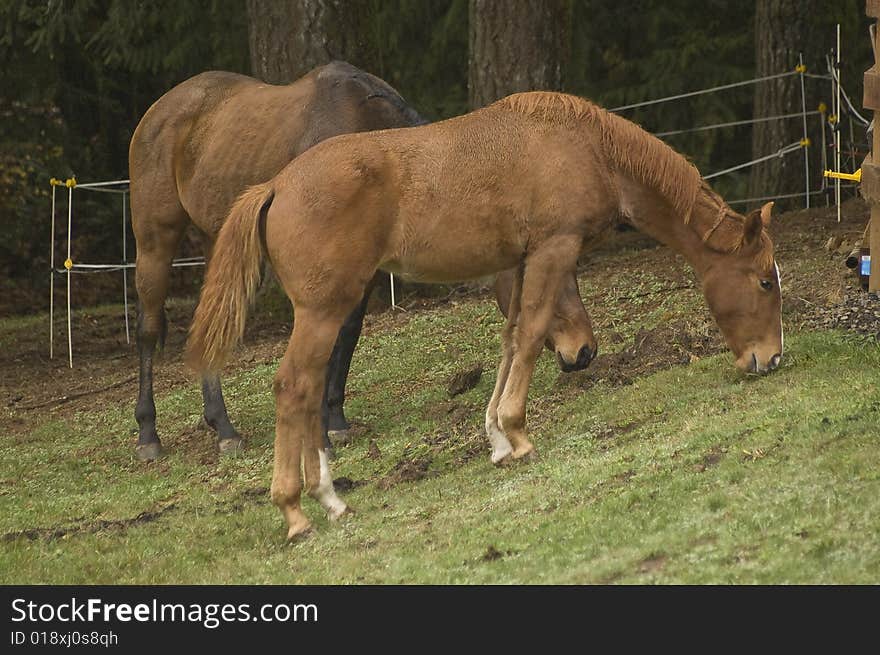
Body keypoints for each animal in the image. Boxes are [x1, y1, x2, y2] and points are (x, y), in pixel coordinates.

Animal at [131, 61, 600, 462]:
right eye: (549, 279)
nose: (585, 352)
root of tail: (158, 110)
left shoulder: (367, 269)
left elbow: (349, 335)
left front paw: (334, 418)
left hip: (219, 241)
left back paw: (222, 427)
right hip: (155, 242)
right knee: (149, 330)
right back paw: (149, 435)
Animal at [187, 92, 784, 544]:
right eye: (764, 280)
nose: (771, 359)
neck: (588, 147)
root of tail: (275, 186)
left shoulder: (518, 263)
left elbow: (511, 338)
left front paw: (498, 437)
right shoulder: (553, 248)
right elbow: (532, 335)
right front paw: (518, 434)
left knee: (309, 390)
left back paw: (331, 499)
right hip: (322, 311)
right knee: (294, 387)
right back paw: (296, 512)